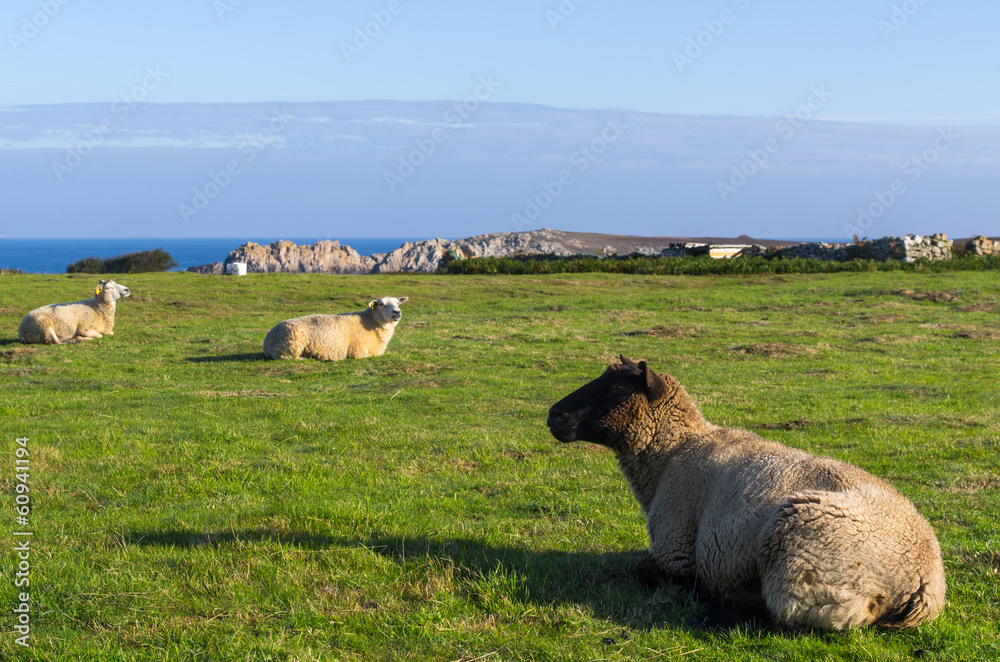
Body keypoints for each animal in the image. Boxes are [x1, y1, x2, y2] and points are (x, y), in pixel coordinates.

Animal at [262, 296, 408, 361]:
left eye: (397, 302)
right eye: (382, 304)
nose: (397, 312)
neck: (371, 322)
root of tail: (267, 341)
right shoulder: (357, 352)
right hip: (291, 344)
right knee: (283, 356)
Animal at [546, 356, 946, 632]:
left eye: (617, 388)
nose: (554, 415)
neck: (674, 454)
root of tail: (925, 581)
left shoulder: (675, 553)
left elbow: (637, 571)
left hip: (801, 557)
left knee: (788, 620)